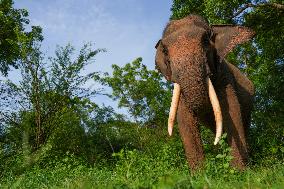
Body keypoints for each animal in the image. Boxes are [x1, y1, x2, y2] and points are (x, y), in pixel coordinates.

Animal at [155, 14, 255, 171]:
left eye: (206, 41)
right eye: (165, 50)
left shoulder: (225, 77)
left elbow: (232, 111)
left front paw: (239, 172)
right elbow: (184, 119)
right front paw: (199, 174)